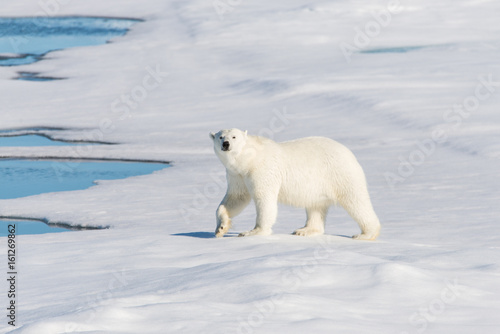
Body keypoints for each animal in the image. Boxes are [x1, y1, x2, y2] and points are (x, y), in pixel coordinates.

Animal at [209, 128, 380, 240]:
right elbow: (236, 198)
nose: (226, 144)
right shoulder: (237, 175)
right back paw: (304, 230)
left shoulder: (262, 170)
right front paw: (221, 228)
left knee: (355, 201)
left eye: (234, 137)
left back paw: (365, 234)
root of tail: (350, 154)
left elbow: (264, 199)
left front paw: (252, 232)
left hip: (339, 174)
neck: (249, 159)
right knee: (315, 206)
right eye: (220, 137)